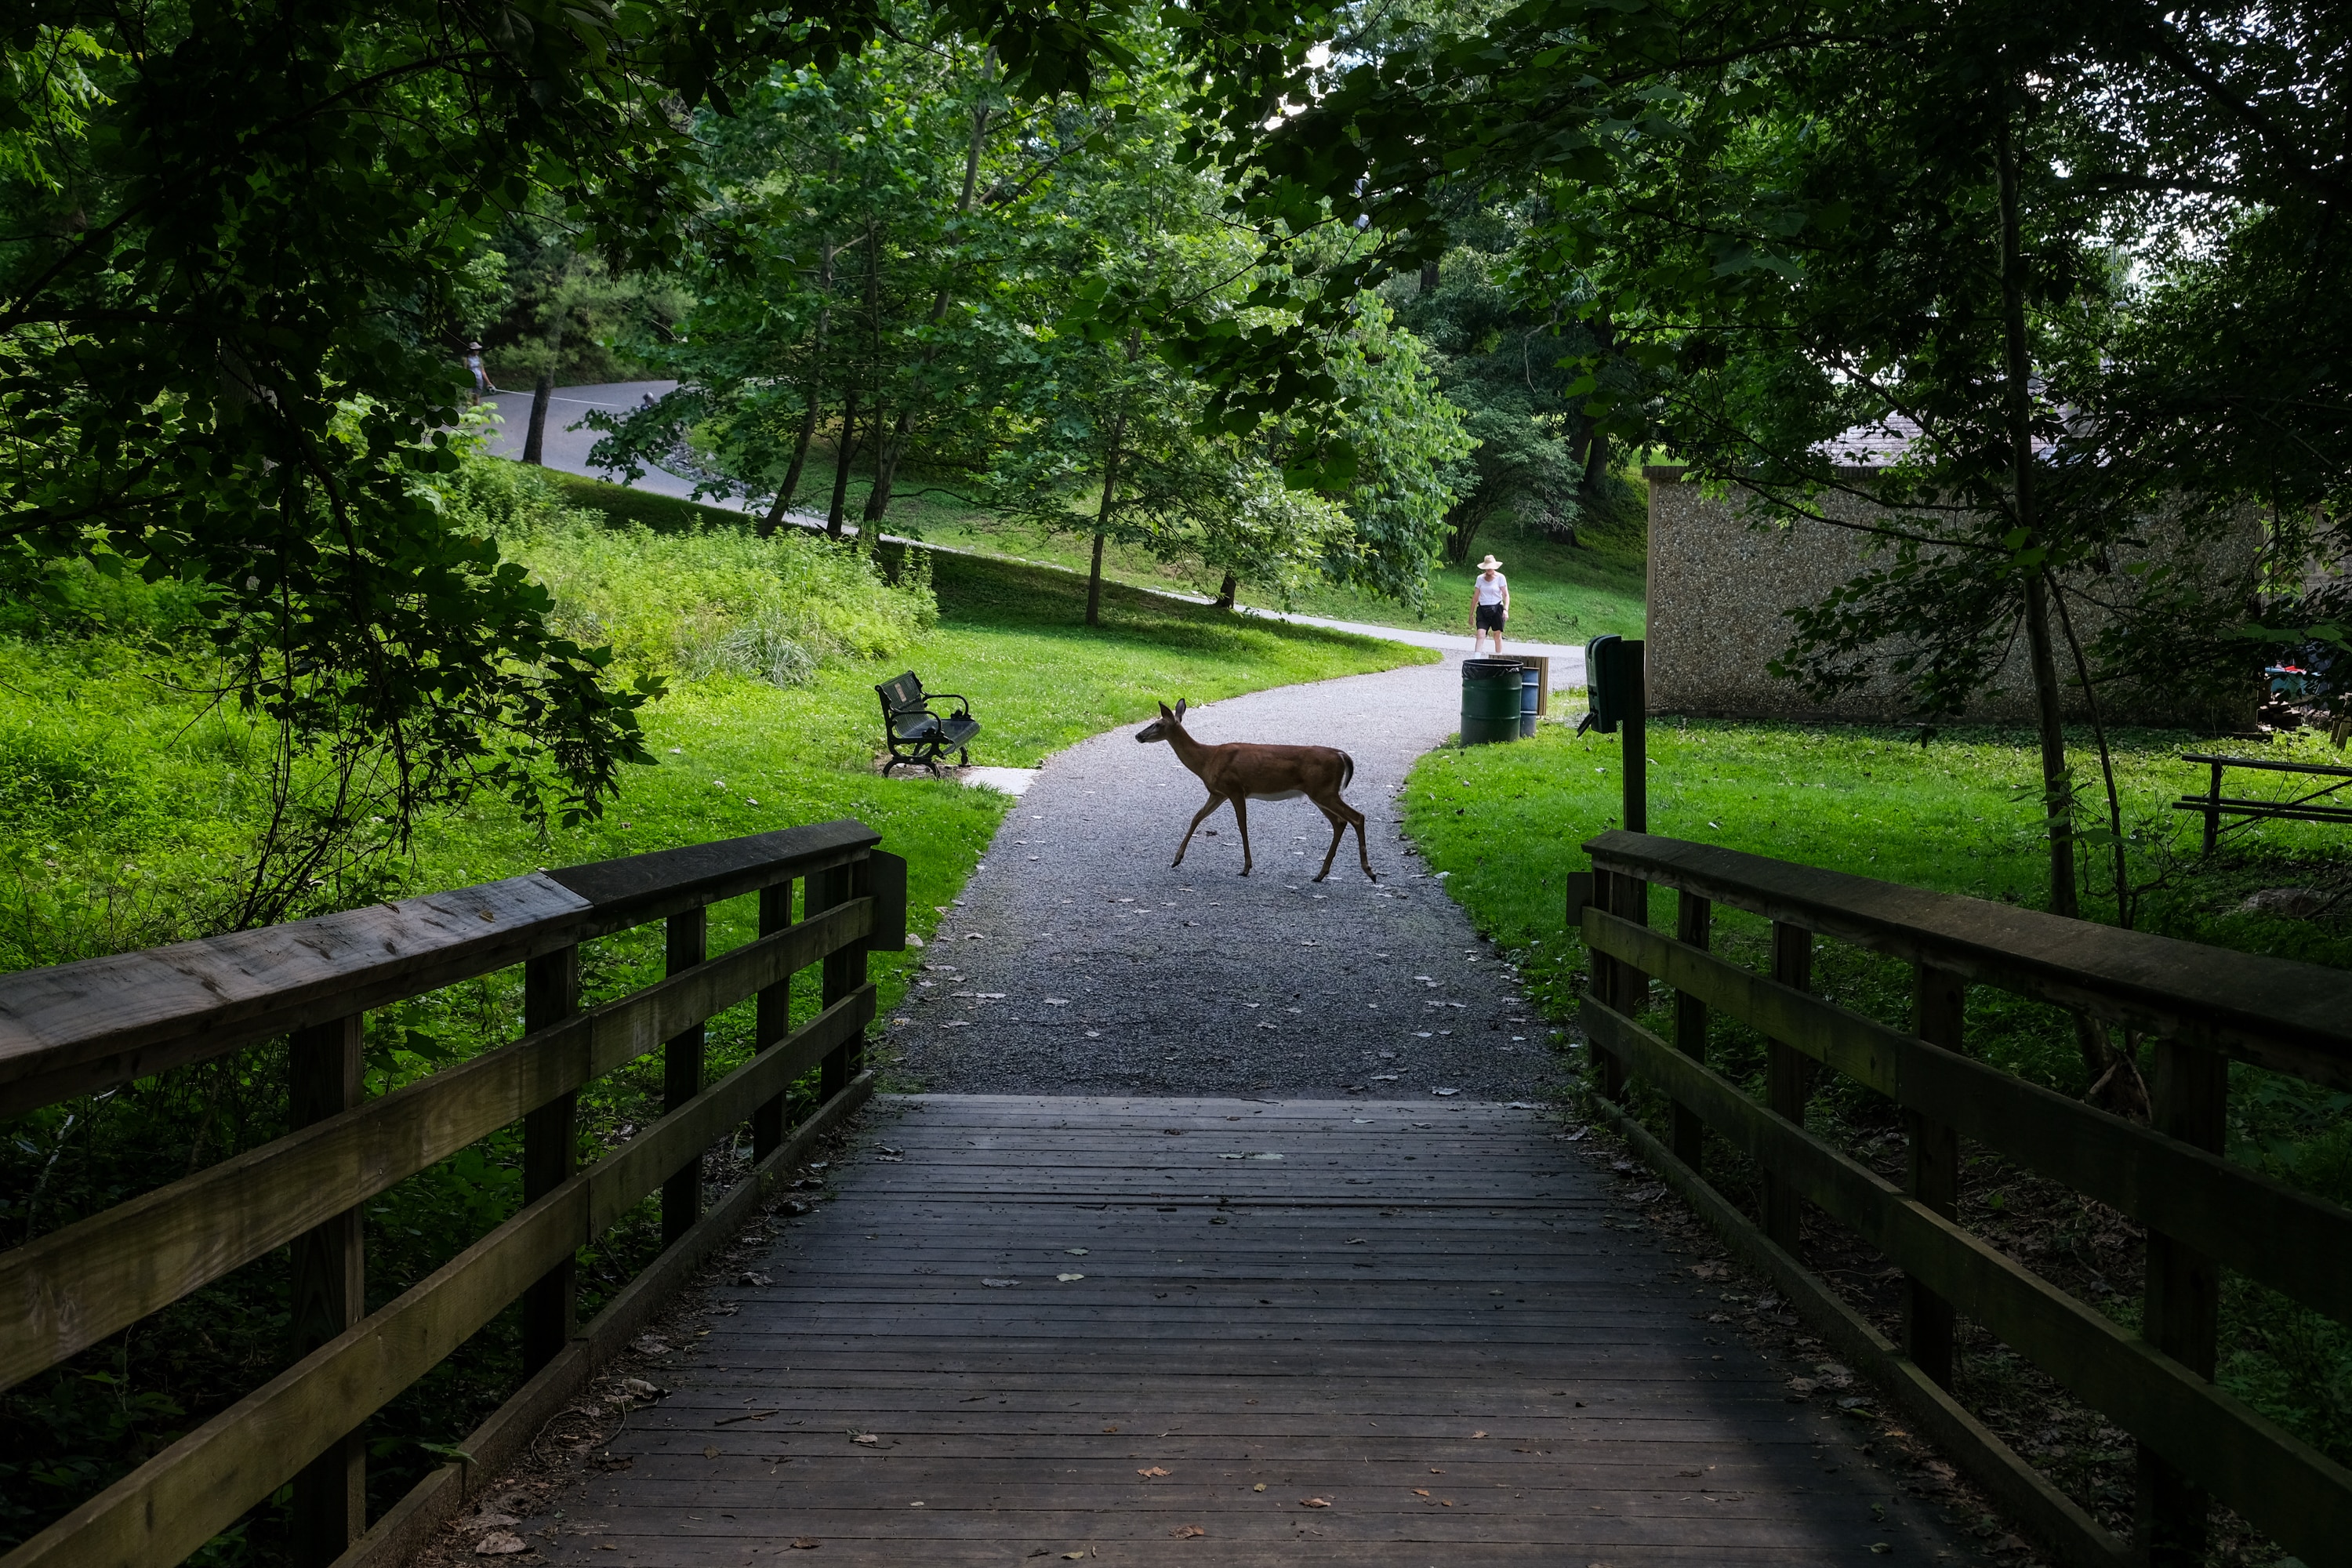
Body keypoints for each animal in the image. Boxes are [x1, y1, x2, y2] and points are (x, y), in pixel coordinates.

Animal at [1134, 699, 1375, 882]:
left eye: (1157, 724)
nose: (1138, 736)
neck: (1207, 760)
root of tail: (1342, 755)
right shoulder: (1218, 793)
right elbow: (1196, 817)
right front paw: (1176, 859)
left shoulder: (1235, 788)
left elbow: (1242, 826)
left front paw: (1246, 867)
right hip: (1320, 793)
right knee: (1340, 822)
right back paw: (1321, 874)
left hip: (1324, 791)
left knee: (1357, 817)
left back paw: (1369, 872)